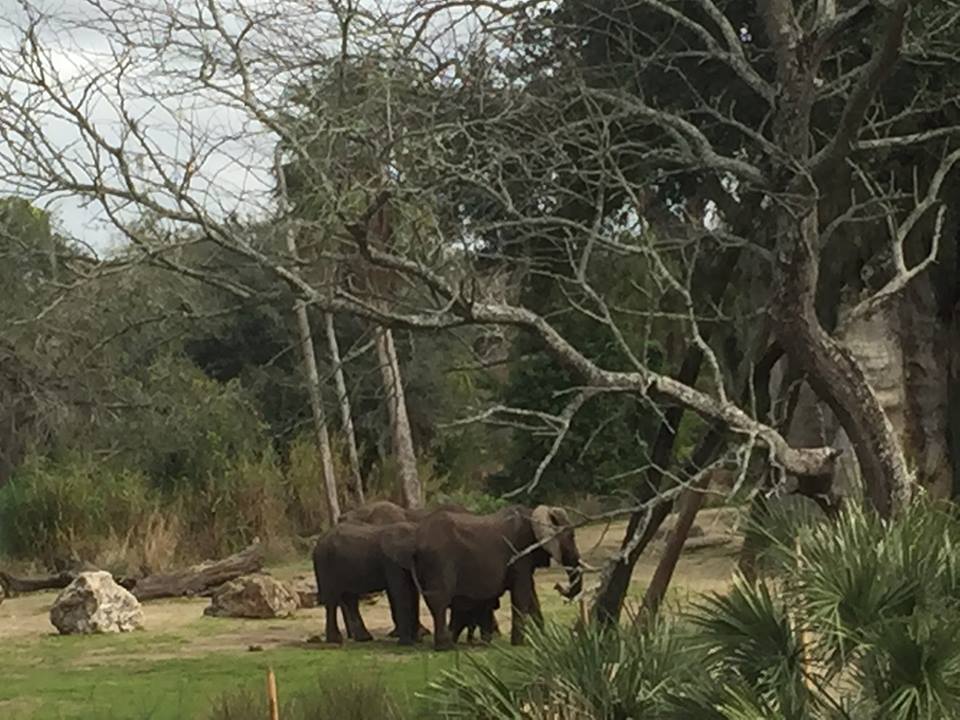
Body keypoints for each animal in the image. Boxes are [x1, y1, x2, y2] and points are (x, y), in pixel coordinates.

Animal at [414, 504, 583, 650]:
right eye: (571, 536)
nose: (558, 586)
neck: (533, 514)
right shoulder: (520, 554)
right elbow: (521, 593)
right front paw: (519, 645)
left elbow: (531, 595)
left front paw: (544, 640)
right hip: (438, 562)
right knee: (440, 601)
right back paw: (446, 647)